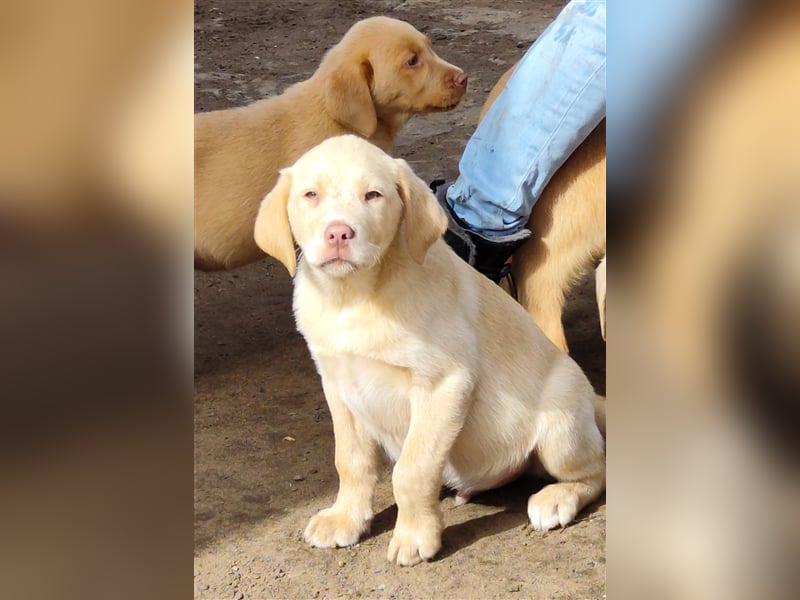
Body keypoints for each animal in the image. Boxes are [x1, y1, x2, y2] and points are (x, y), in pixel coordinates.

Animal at [256, 136, 608, 568]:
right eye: (311, 195)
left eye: (373, 195)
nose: (339, 233)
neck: (353, 297)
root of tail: (591, 398)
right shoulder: (338, 386)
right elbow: (351, 461)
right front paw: (346, 518)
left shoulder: (443, 384)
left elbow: (411, 471)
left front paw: (414, 535)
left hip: (560, 429)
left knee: (596, 470)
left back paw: (557, 499)